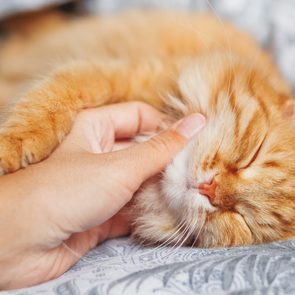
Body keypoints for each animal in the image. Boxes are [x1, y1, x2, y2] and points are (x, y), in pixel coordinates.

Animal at [0, 11, 295, 247]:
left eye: (242, 218)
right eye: (253, 155)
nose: (210, 190)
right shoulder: (119, 76)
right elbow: (54, 98)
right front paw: (13, 145)